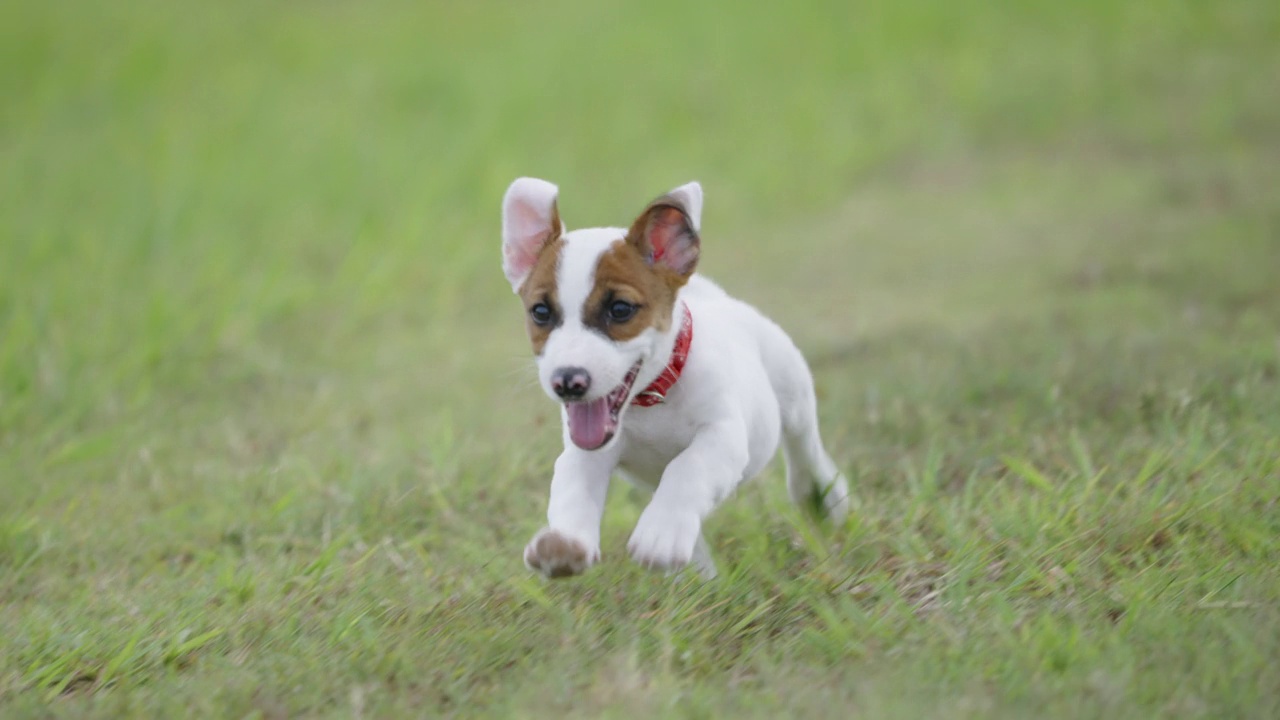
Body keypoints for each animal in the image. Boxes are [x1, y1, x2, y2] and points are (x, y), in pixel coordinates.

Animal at [501, 178, 849, 576]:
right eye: (541, 312)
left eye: (620, 309)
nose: (567, 381)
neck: (654, 399)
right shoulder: (587, 454)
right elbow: (573, 490)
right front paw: (565, 544)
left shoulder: (723, 436)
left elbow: (686, 469)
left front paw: (661, 535)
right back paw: (697, 571)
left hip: (793, 394)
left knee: (805, 447)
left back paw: (823, 497)